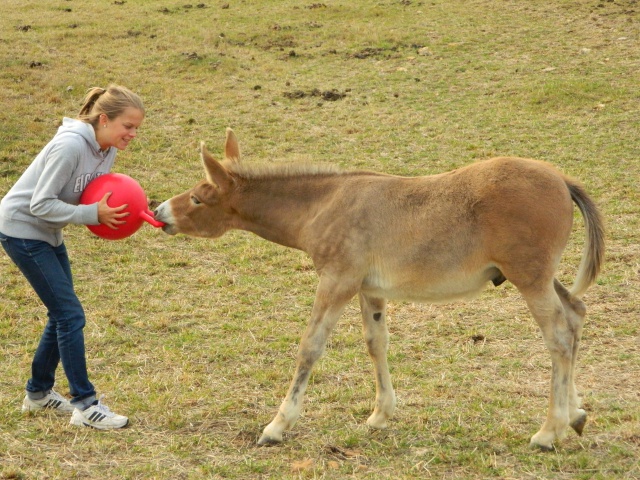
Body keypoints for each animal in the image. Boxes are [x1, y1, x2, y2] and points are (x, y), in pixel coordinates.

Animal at [155, 128, 604, 450]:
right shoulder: (368, 288)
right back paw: (576, 415)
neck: (324, 203)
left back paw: (548, 432)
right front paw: (380, 415)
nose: (160, 212)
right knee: (575, 315)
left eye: (197, 198)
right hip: (538, 277)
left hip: (529, 279)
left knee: (559, 335)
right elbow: (376, 342)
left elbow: (310, 346)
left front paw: (277, 426)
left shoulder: (337, 280)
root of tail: (561, 179)